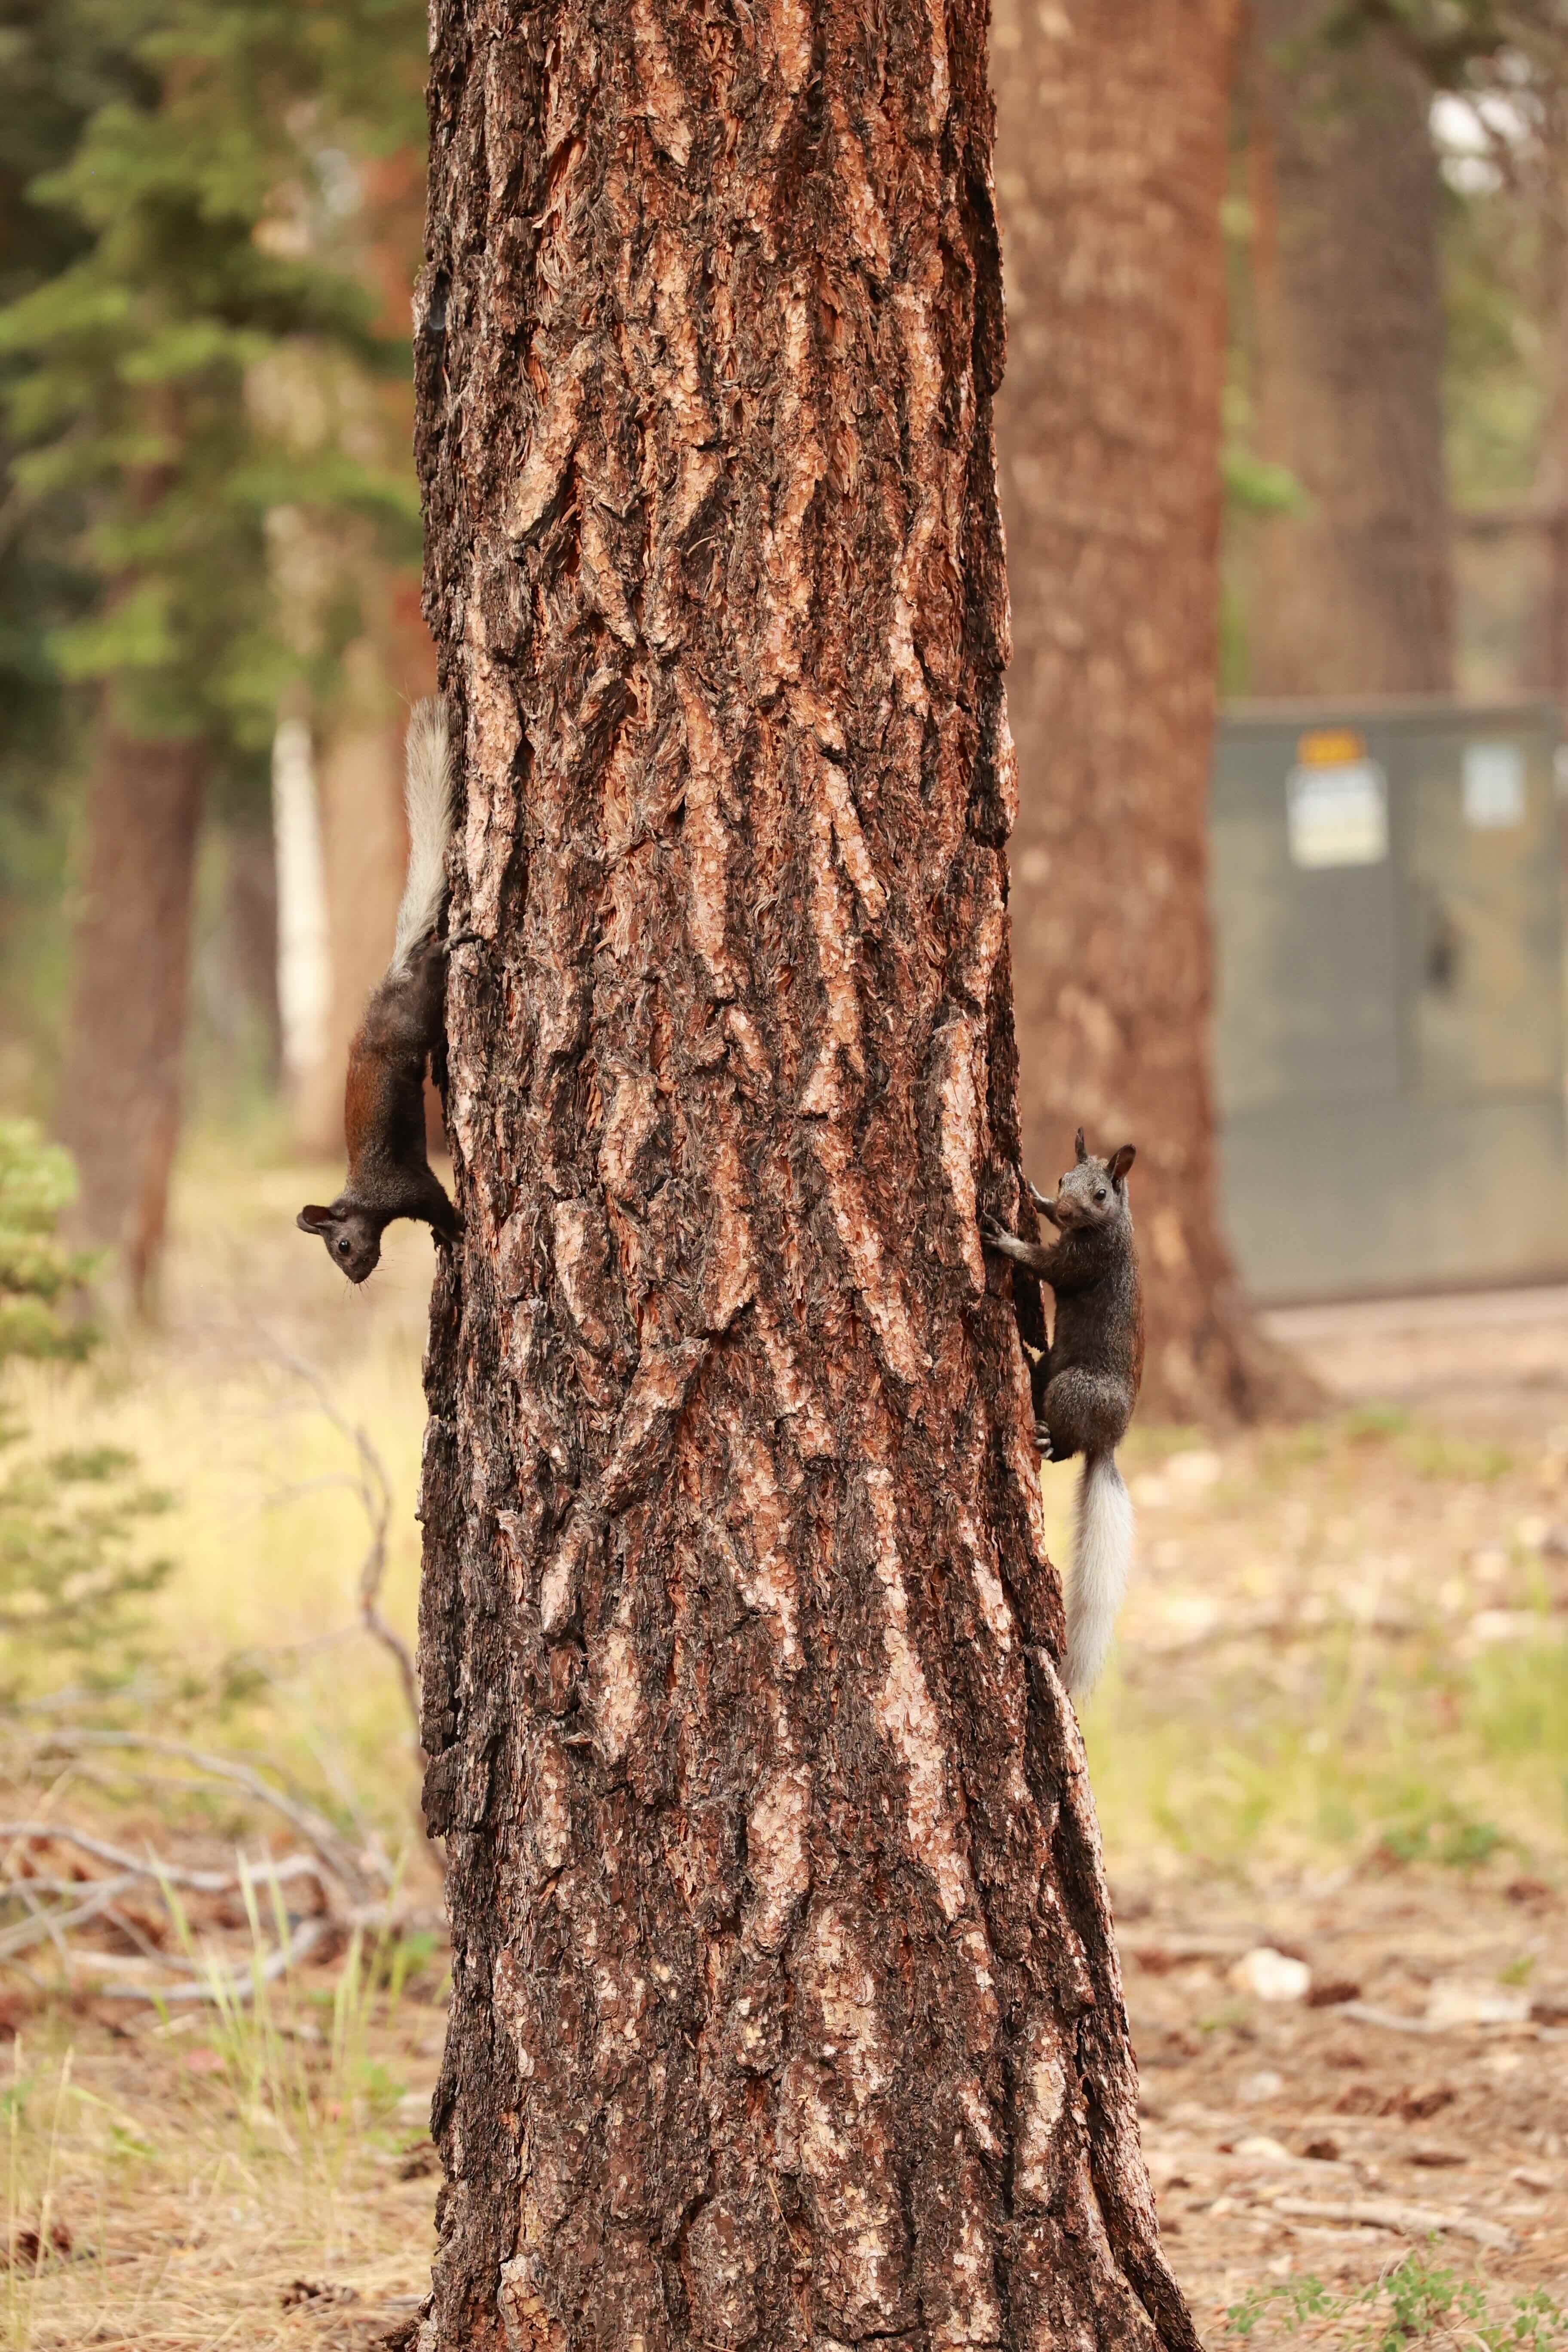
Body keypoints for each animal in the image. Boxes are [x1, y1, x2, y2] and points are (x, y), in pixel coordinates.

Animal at [296, 698, 463, 1284]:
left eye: (343, 1246)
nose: (356, 1278)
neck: (365, 1200)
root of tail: (391, 979)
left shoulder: (404, 1186)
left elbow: (437, 1201)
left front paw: (459, 1232)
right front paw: (447, 1238)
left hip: (419, 1012)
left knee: (435, 967)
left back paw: (454, 942)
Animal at [981, 1129, 1143, 1695]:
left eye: (1101, 1193)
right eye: (1063, 1178)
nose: (1067, 1207)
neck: (1115, 1225)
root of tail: (1109, 1441)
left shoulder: (1087, 1260)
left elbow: (1047, 1263)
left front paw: (1005, 1239)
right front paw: (1033, 1196)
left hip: (1075, 1388)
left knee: (1067, 1448)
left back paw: (1052, 1441)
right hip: (1053, 1366)